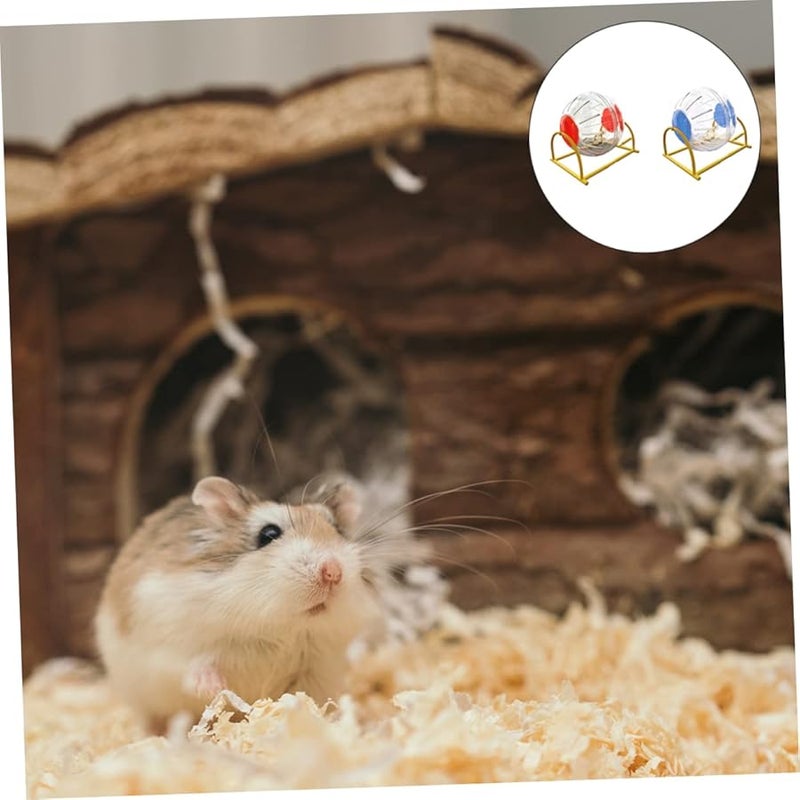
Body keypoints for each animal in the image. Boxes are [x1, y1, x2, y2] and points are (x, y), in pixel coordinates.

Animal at [94, 476, 384, 731]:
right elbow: (193, 667)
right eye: (268, 534)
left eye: (337, 530)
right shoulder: (170, 646)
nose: (333, 572)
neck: (281, 628)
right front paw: (216, 688)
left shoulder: (317, 669)